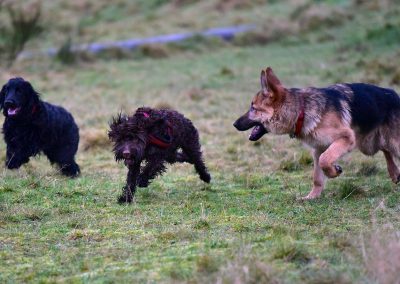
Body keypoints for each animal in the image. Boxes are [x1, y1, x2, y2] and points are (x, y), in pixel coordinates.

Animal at [233, 67, 400, 199]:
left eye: (253, 108)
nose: (234, 124)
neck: (301, 110)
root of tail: (394, 94)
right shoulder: (318, 148)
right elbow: (318, 175)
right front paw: (312, 197)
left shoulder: (346, 138)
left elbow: (325, 160)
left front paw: (334, 172)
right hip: (368, 144)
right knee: (385, 149)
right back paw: (394, 173)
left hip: (388, 143)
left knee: (388, 148)